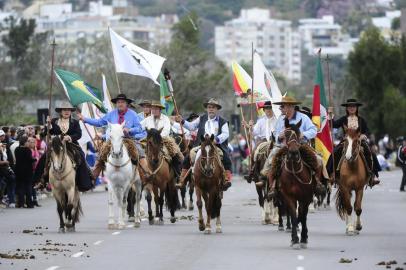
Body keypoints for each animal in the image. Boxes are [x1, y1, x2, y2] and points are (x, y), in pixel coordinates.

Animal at [274, 119, 318, 249]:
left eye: (298, 135)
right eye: (286, 135)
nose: (293, 153)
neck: (294, 173)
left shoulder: (306, 197)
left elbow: (302, 216)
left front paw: (303, 238)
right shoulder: (288, 197)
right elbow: (294, 215)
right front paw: (294, 239)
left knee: (304, 215)